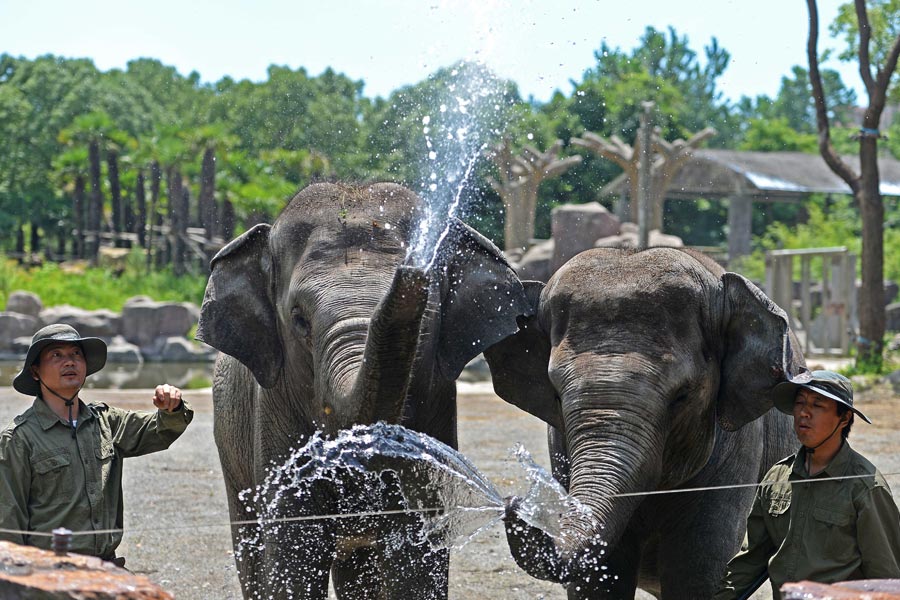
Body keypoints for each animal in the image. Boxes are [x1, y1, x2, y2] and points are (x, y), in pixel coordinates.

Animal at [196, 180, 532, 596]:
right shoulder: (273, 407)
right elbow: (295, 551)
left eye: (428, 312)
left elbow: (416, 557)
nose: (412, 270)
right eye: (299, 319)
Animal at [488, 246, 804, 596]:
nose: (513, 503)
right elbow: (600, 576)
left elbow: (699, 565)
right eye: (555, 394)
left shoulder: (740, 445)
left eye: (682, 395)